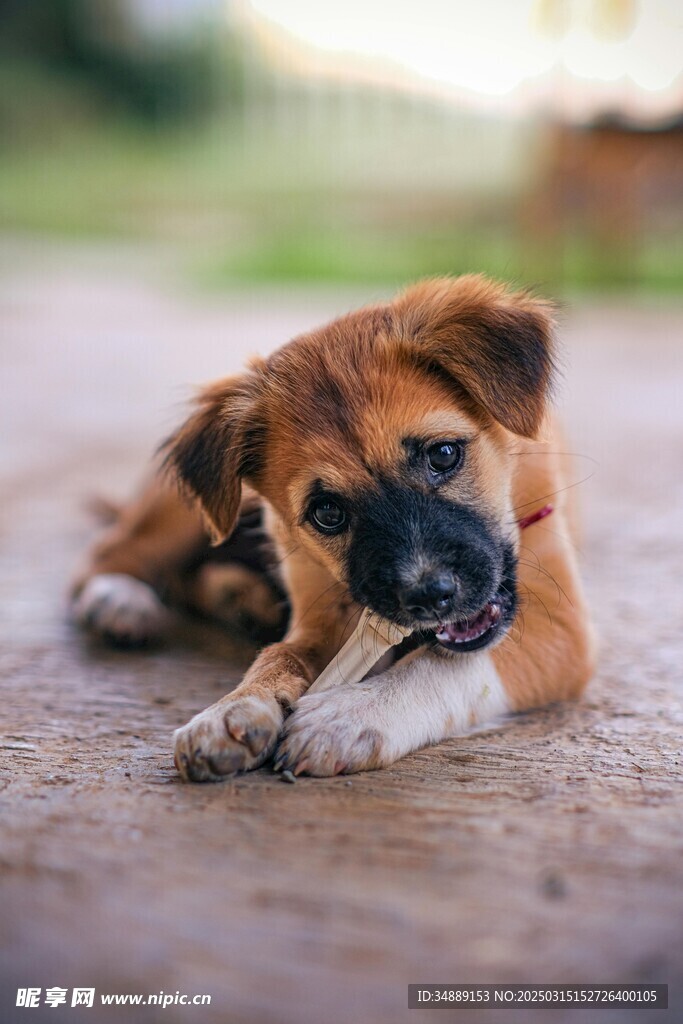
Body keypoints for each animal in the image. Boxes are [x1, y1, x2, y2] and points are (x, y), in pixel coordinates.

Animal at [72, 276, 598, 778]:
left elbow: (439, 666)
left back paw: (237, 599)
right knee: (114, 551)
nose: (430, 596)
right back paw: (120, 599)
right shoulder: (320, 617)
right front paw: (231, 710)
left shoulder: (560, 630)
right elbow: (280, 655)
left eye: (444, 454)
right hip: (185, 510)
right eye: (327, 512)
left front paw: (349, 716)